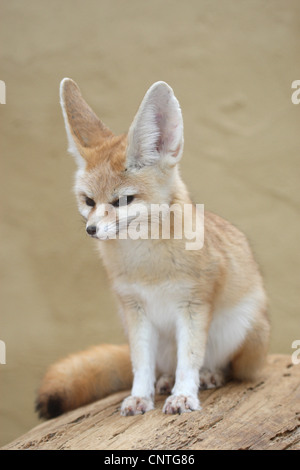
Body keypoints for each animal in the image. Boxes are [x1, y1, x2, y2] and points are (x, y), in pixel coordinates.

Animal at [35, 78, 270, 418]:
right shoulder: (135, 310)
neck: (147, 266)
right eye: (89, 201)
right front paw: (139, 396)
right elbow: (141, 365)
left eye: (122, 200)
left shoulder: (193, 306)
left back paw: (211, 375)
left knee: (229, 368)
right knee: (160, 367)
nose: (91, 230)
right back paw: (165, 381)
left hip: (243, 332)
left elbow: (190, 360)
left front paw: (184, 395)